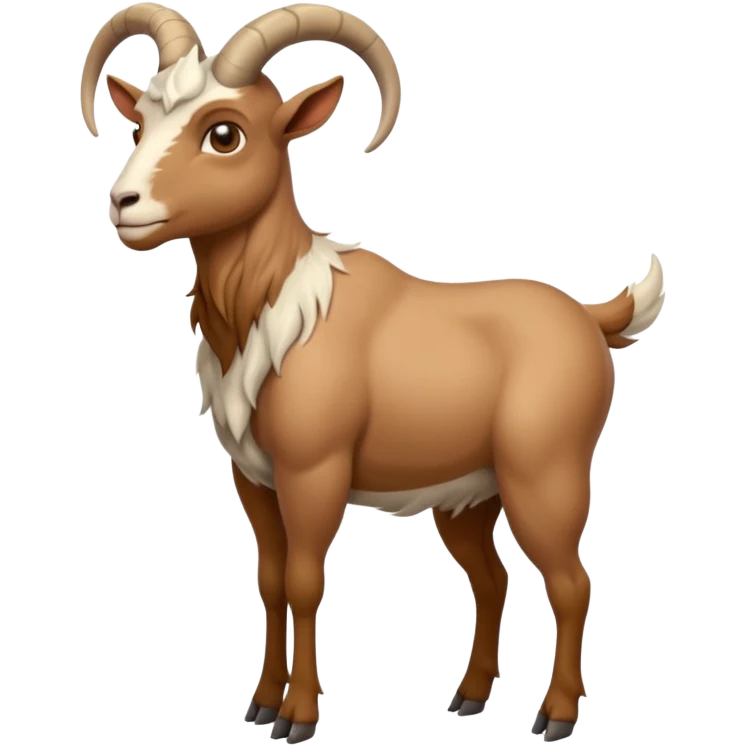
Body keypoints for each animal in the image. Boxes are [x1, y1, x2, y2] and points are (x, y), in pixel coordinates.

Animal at [81, 3, 667, 743]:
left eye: (224, 133)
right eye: (141, 121)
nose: (123, 202)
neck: (277, 315)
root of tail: (591, 319)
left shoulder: (315, 474)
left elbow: (305, 582)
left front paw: (298, 717)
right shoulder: (254, 480)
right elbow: (271, 581)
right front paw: (261, 704)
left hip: (545, 478)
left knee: (571, 581)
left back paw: (556, 716)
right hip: (470, 498)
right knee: (493, 579)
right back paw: (469, 697)